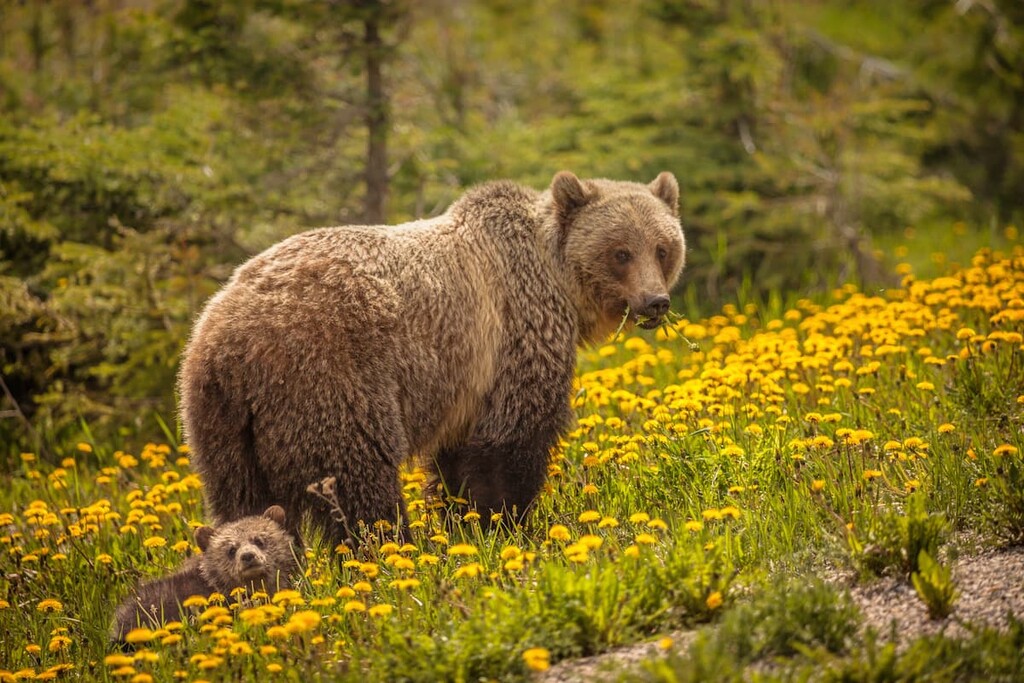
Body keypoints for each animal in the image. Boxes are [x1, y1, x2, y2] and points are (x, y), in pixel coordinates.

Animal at [179, 171, 686, 545]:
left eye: (663, 248)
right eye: (621, 252)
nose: (655, 302)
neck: (557, 280)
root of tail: (227, 340)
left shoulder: (466, 383)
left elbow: (457, 461)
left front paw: (464, 523)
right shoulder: (513, 336)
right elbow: (513, 441)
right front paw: (508, 525)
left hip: (222, 423)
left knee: (242, 500)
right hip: (327, 378)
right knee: (358, 479)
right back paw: (390, 550)